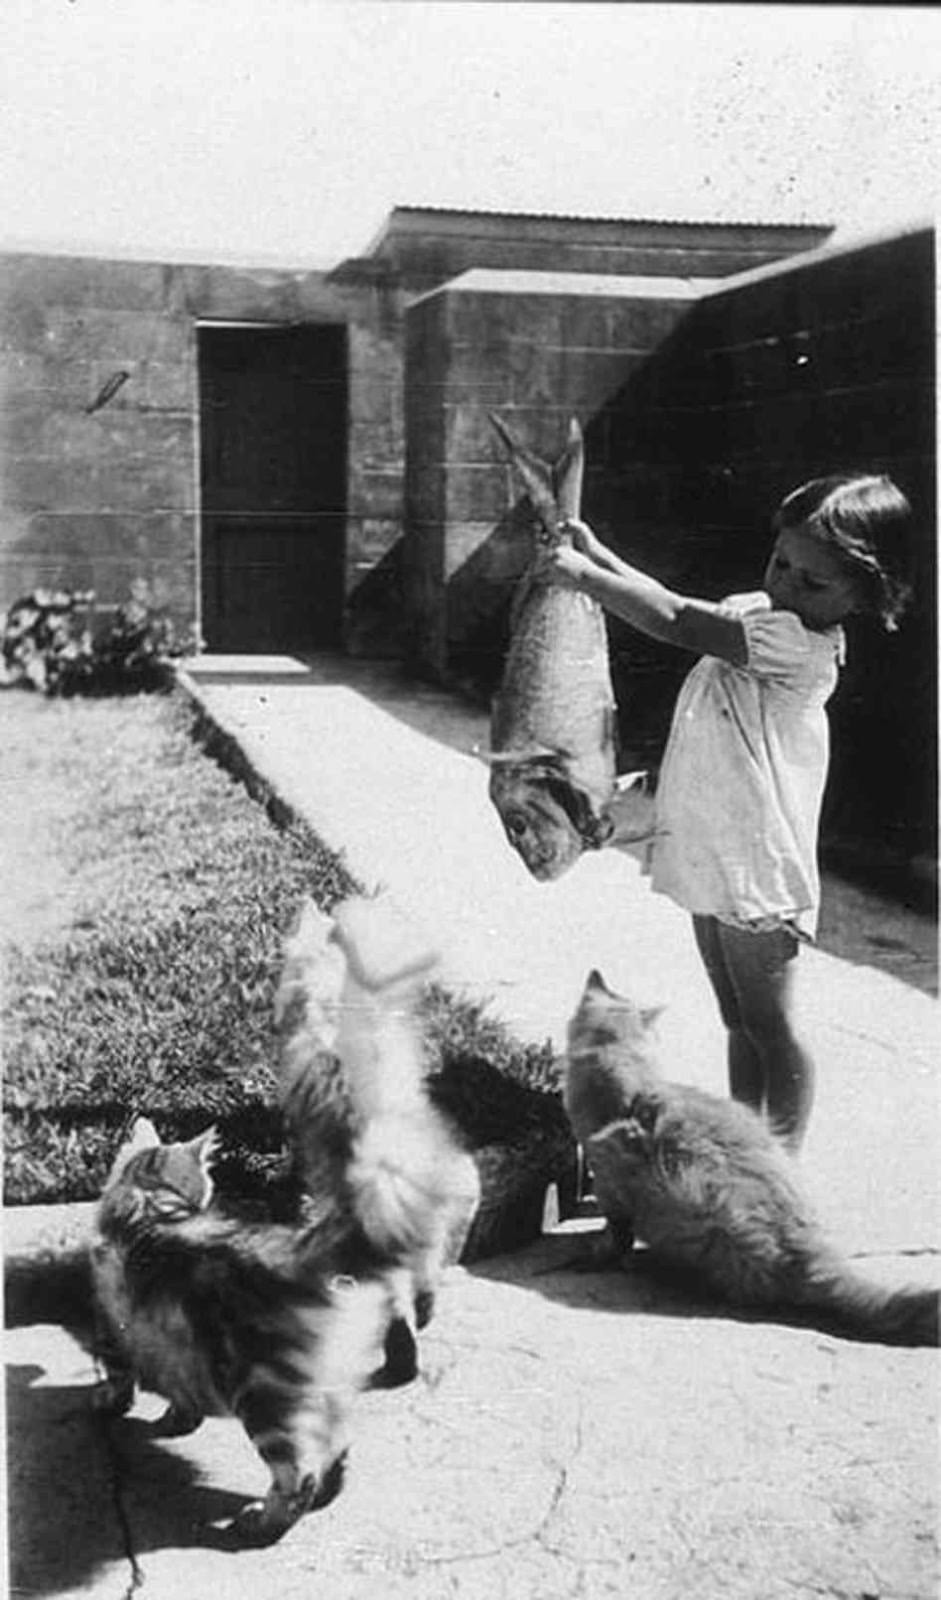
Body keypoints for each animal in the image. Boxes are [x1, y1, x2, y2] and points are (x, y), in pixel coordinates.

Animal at [92, 1120, 388, 1542]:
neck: (152, 1197)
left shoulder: (111, 1319)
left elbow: (118, 1373)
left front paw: (111, 1402)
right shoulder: (180, 1346)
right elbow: (181, 1389)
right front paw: (177, 1420)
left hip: (265, 1398)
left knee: (299, 1475)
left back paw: (261, 1524)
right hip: (327, 1392)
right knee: (335, 1448)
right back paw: (322, 1497)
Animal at [563, 966, 934, 1344]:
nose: (597, 973)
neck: (627, 1083)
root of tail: (807, 1249)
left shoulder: (608, 1179)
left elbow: (617, 1232)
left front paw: (602, 1250)